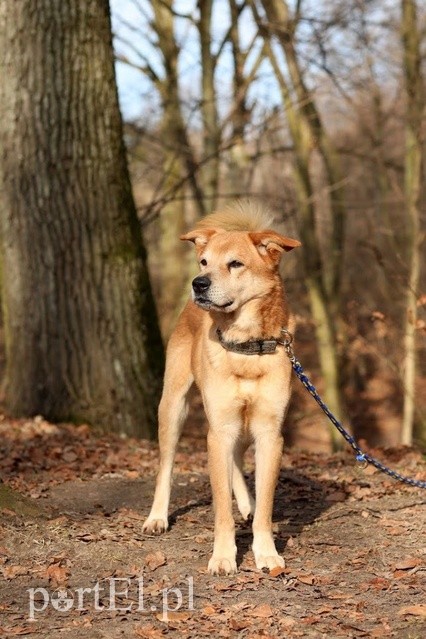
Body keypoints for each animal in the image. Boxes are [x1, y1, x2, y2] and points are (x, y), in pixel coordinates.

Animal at [143, 200, 300, 576]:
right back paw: (157, 517)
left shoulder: (269, 433)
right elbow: (220, 509)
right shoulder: (218, 431)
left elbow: (265, 505)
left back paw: (247, 503)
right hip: (174, 407)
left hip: (240, 425)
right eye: (204, 261)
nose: (198, 284)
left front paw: (266, 552)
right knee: (166, 466)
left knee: (238, 464)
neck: (246, 346)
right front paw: (224, 556)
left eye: (235, 264)